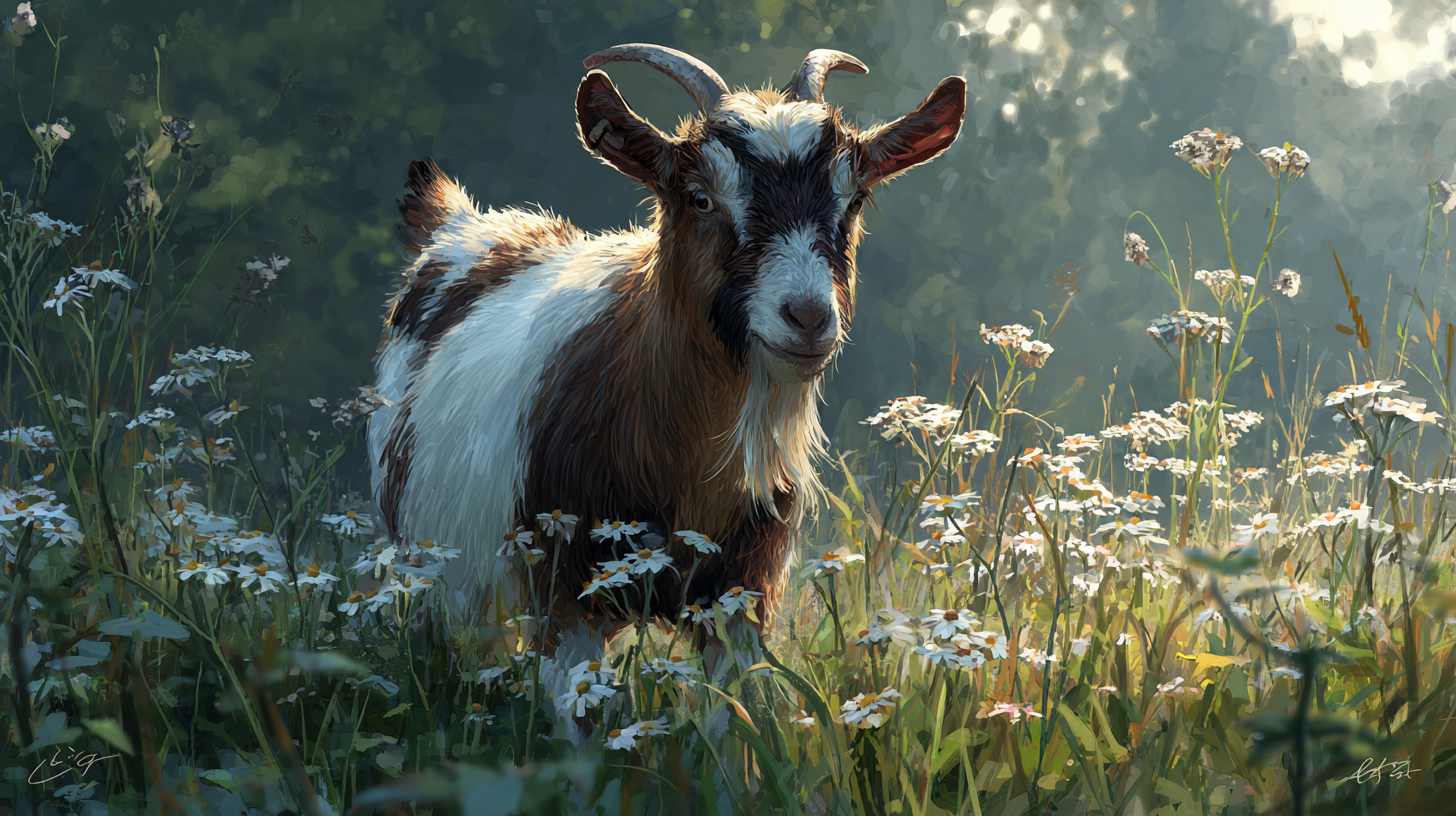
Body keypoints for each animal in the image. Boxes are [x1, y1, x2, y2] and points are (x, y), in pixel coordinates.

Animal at [369, 44, 965, 684]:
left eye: (853, 200)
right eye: (700, 197)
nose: (807, 316)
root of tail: (458, 223)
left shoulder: (738, 591)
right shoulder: (567, 597)